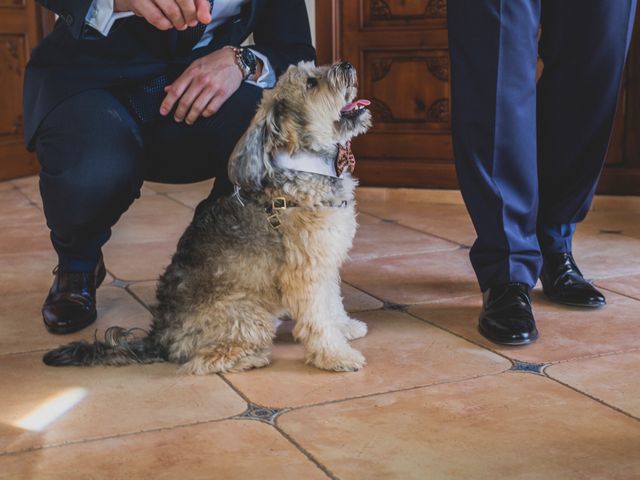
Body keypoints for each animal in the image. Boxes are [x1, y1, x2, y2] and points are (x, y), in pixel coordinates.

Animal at [45, 61, 372, 376]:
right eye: (311, 83)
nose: (346, 65)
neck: (308, 165)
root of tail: (159, 337)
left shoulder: (326, 262)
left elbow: (333, 302)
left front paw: (345, 327)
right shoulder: (305, 273)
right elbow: (318, 319)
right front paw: (335, 356)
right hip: (248, 316)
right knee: (200, 362)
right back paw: (252, 359)